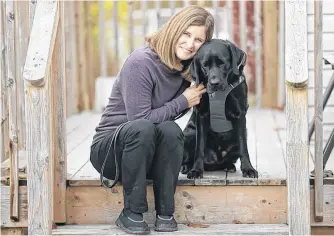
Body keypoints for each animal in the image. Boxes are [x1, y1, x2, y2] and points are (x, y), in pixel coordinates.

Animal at [181, 39, 258, 179]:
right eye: (205, 65)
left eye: (222, 63)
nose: (214, 83)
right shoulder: (202, 115)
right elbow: (199, 147)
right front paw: (196, 170)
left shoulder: (240, 115)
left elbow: (243, 146)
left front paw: (248, 169)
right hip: (189, 135)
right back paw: (187, 167)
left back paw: (229, 166)